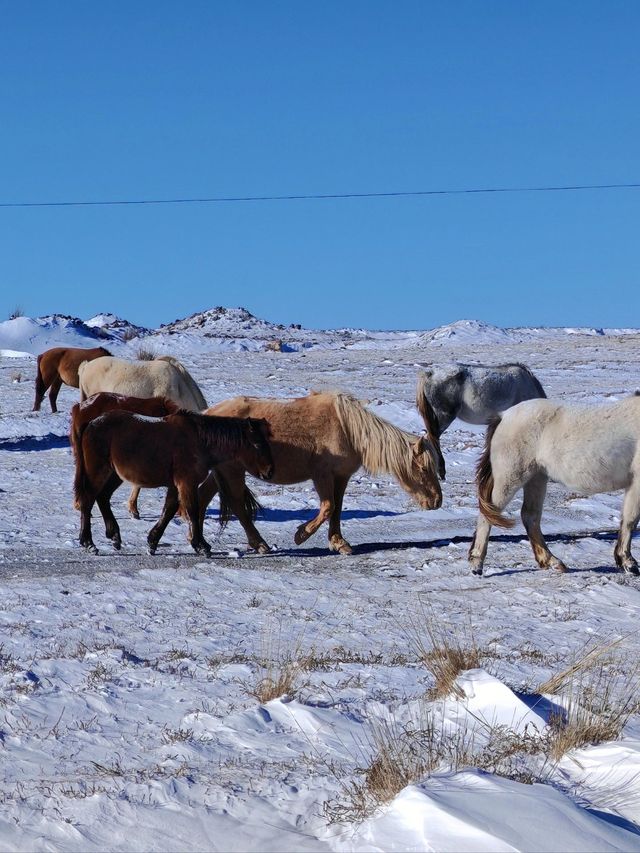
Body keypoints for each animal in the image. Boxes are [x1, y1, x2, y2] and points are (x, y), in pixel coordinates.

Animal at [75, 410, 276, 556]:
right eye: (257, 444)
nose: (269, 471)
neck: (199, 441)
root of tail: (90, 423)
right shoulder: (187, 483)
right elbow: (192, 511)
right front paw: (201, 545)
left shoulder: (175, 485)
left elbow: (169, 510)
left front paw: (152, 542)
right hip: (99, 471)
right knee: (88, 500)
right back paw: (88, 543)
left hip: (114, 475)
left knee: (102, 498)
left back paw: (114, 536)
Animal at [198, 392, 442, 556]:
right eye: (423, 468)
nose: (437, 501)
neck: (347, 429)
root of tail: (207, 415)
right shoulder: (322, 475)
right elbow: (328, 508)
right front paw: (300, 535)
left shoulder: (341, 477)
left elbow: (337, 509)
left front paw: (339, 543)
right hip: (232, 471)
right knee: (237, 505)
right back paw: (259, 544)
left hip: (222, 471)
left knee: (202, 499)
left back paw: (200, 543)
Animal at [468, 396, 640, 576]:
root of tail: (503, 416)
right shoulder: (636, 483)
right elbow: (630, 520)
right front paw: (628, 563)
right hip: (510, 478)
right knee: (488, 515)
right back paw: (477, 563)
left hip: (536, 478)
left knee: (530, 516)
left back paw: (552, 561)